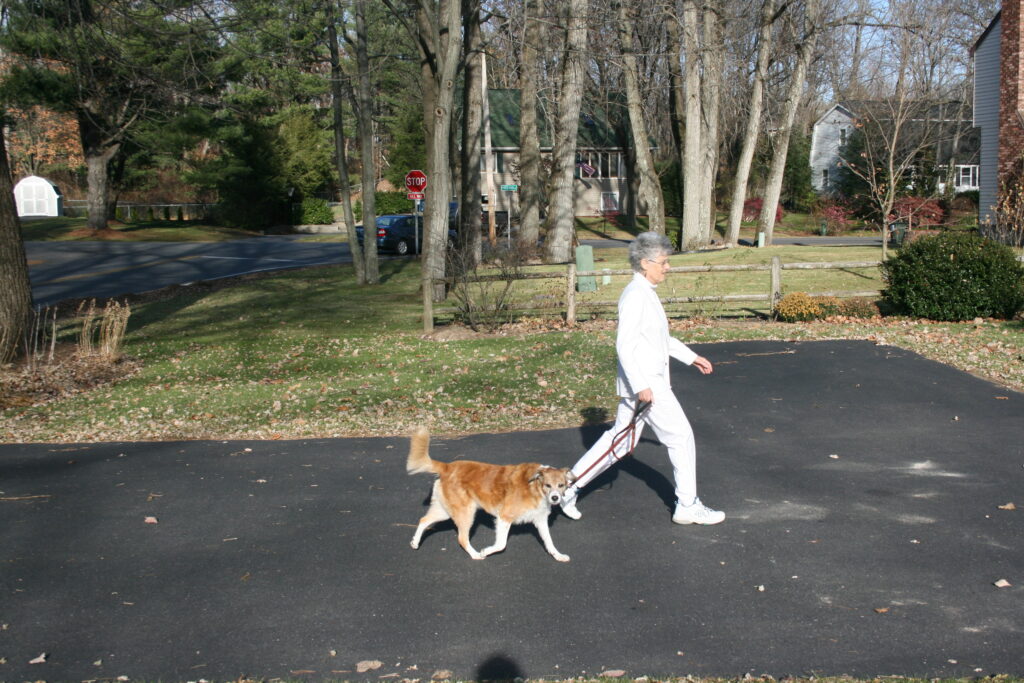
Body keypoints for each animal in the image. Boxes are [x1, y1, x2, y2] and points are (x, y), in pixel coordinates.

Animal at [405, 428, 577, 561]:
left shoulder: (540, 520)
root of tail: (447, 467)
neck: (535, 487)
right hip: (466, 513)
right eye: (548, 485)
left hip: (446, 511)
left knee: (424, 520)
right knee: (462, 538)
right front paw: (485, 551)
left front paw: (558, 555)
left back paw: (415, 542)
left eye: (561, 485)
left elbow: (549, 542)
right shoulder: (504, 517)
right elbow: (501, 544)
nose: (555, 498)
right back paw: (475, 554)